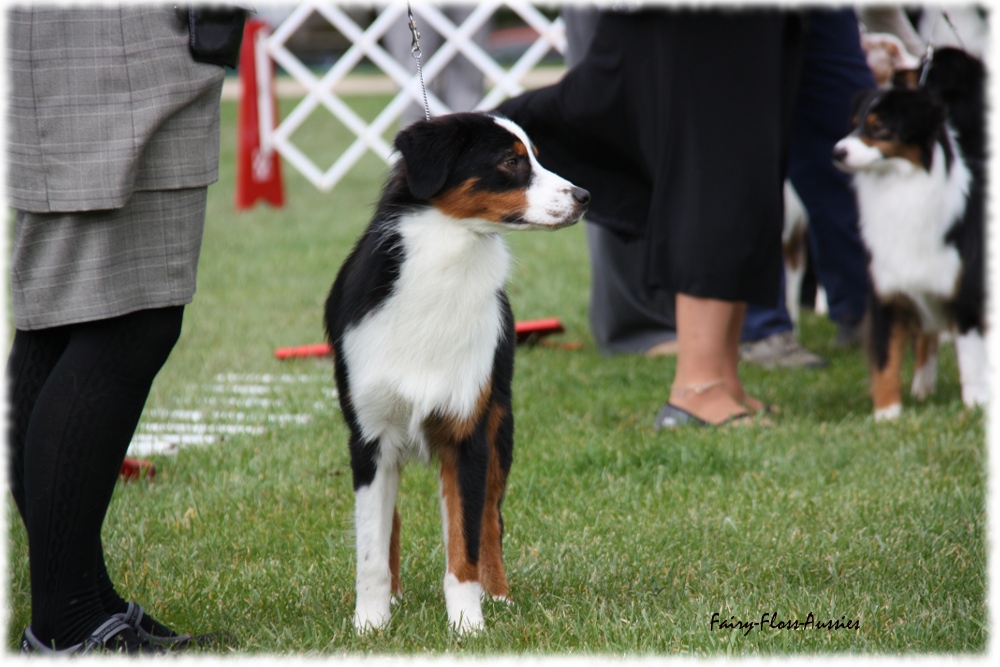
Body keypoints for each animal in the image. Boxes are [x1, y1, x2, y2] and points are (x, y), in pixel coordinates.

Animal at [324, 112, 588, 636]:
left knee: (490, 519)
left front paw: (468, 625)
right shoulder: (369, 437)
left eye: (535, 156)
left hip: (500, 426)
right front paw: (371, 623)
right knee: (392, 522)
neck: (445, 263)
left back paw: (498, 594)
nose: (584, 197)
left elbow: (464, 542)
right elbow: (370, 548)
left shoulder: (467, 431)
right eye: (511, 161)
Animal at [832, 49, 988, 420]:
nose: (837, 151)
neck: (900, 186)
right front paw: (887, 414)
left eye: (879, 127)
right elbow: (885, 358)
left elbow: (971, 357)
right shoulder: (888, 291)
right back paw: (922, 388)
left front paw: (976, 404)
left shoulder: (966, 293)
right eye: (854, 124)